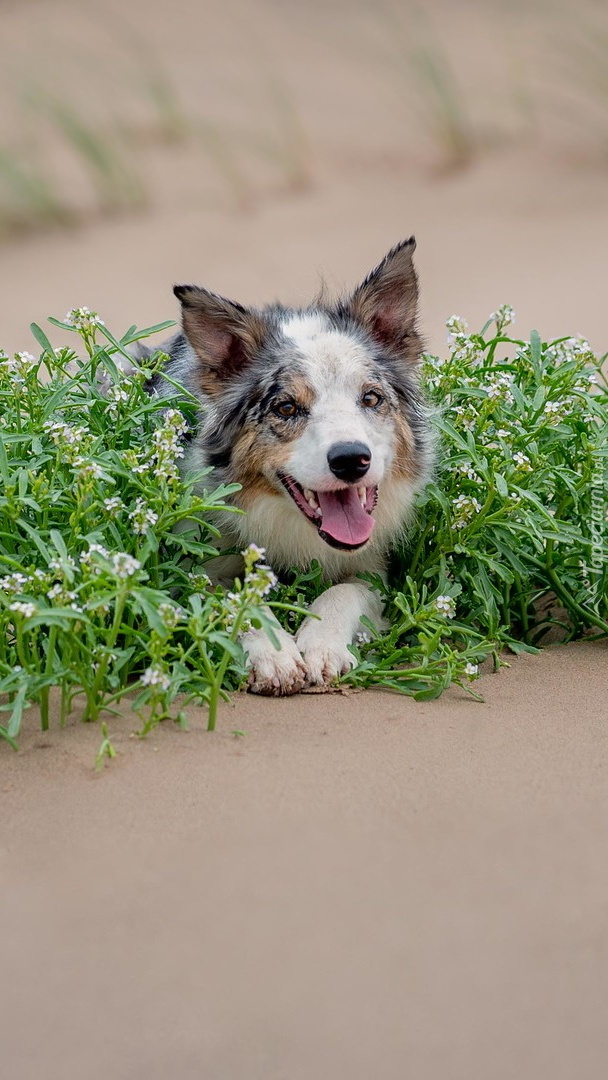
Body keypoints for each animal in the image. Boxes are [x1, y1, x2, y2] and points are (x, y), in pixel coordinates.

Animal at [149, 237, 431, 695]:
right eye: (286, 407)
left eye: (371, 398)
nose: (351, 459)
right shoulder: (194, 567)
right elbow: (237, 599)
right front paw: (274, 654)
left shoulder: (371, 567)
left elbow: (344, 593)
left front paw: (322, 646)